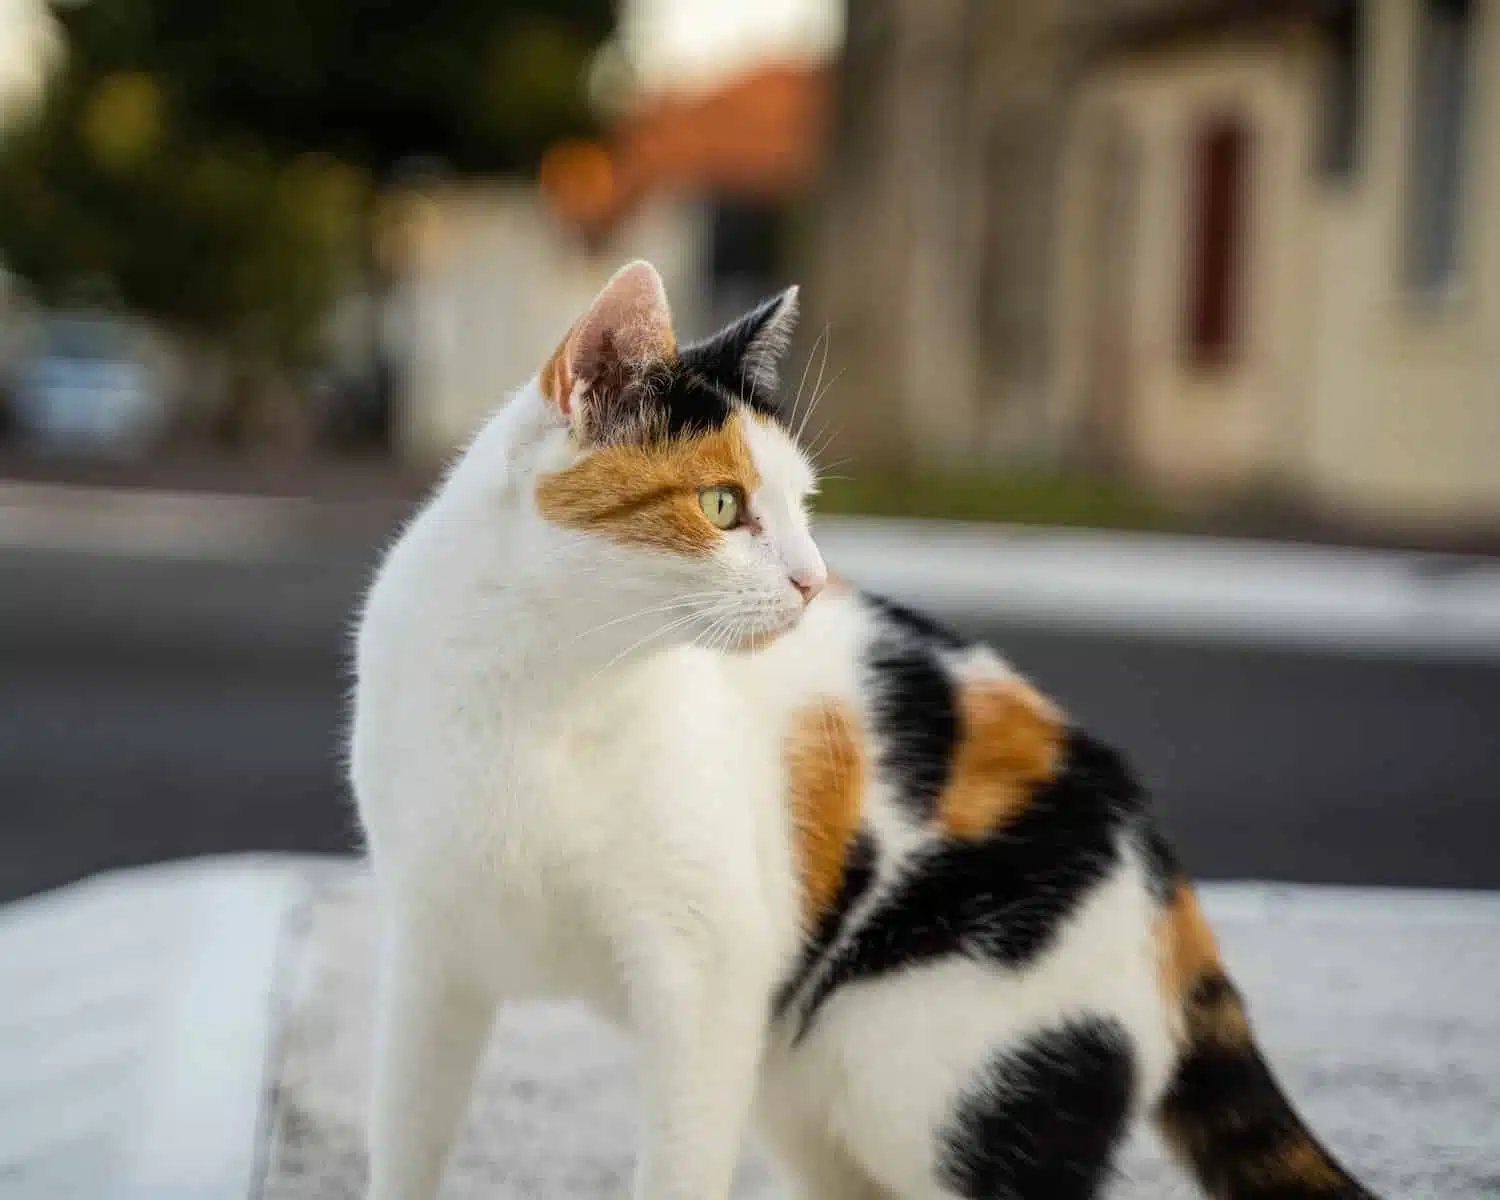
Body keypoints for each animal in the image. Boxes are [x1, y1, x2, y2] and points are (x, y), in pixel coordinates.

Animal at [354, 262, 1380, 1200]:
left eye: (803, 506)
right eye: (722, 504)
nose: (813, 581)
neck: (543, 692)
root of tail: (1157, 859)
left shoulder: (709, 980)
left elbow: (681, 1163)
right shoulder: (429, 959)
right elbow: (403, 1142)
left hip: (934, 1072)